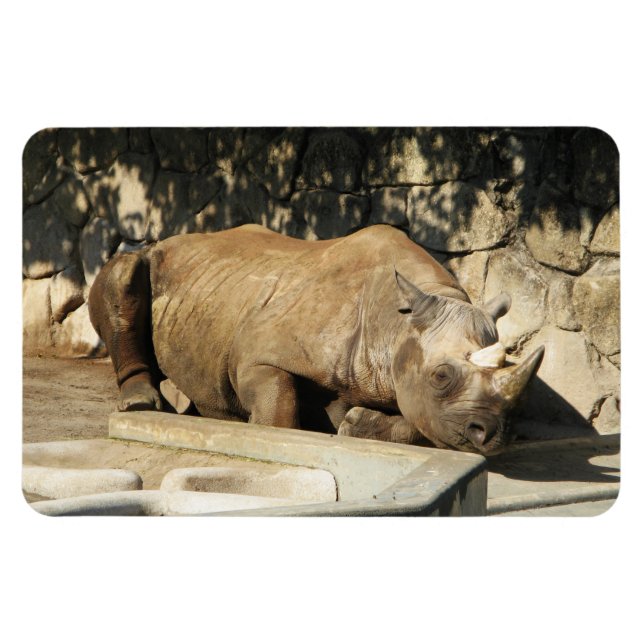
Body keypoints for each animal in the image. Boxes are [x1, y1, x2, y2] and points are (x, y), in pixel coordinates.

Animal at [88, 223, 544, 455]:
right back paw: (142, 404)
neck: (395, 324)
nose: (493, 435)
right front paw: (267, 432)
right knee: (125, 271)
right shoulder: (258, 355)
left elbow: (423, 423)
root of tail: (169, 240)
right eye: (441, 376)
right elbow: (279, 406)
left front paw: (355, 423)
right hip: (153, 259)